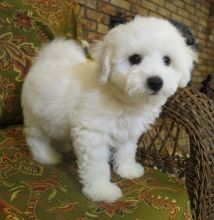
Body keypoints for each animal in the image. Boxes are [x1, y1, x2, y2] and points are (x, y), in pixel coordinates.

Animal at [20, 16, 196, 203]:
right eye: (134, 58)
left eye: (167, 60)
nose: (155, 82)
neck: (124, 100)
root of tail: (45, 59)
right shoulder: (92, 134)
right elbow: (97, 166)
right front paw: (101, 191)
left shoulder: (129, 132)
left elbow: (126, 151)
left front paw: (127, 169)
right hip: (35, 115)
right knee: (35, 137)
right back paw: (46, 156)